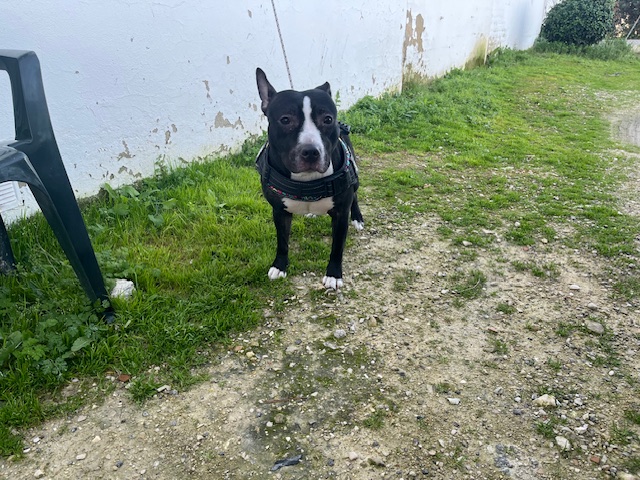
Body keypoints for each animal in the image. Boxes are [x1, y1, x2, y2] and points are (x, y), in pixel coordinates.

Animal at [255, 68, 364, 289]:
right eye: (285, 119)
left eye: (327, 119)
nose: (311, 152)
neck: (306, 181)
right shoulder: (279, 211)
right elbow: (282, 241)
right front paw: (279, 266)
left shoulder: (341, 214)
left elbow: (337, 246)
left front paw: (333, 275)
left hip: (354, 178)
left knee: (355, 196)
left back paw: (357, 218)